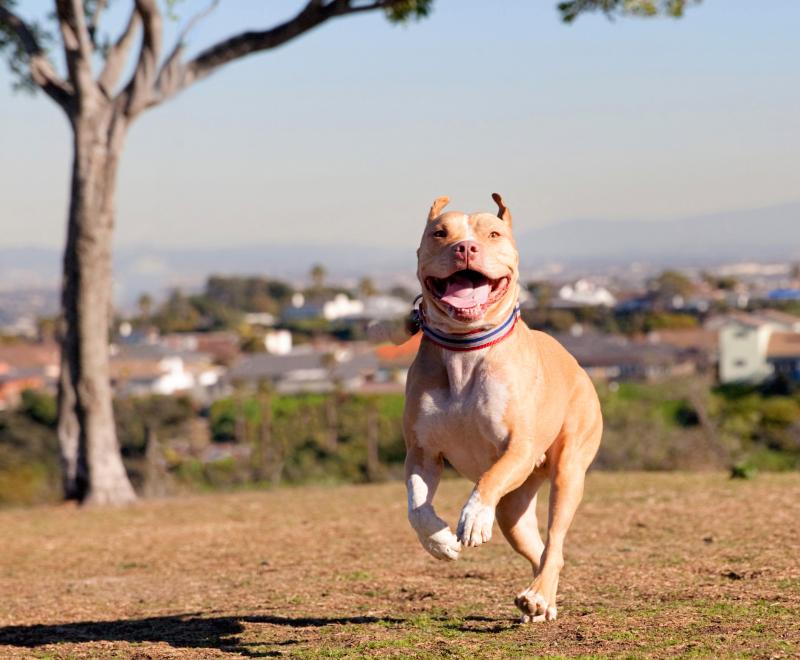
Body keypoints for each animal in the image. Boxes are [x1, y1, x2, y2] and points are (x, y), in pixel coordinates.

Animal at [406, 193, 600, 620]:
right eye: (439, 233)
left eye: (493, 234)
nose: (465, 248)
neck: (465, 351)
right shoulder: (422, 452)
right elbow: (416, 505)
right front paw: (440, 541)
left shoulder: (518, 447)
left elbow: (488, 479)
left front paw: (474, 517)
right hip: (515, 508)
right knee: (539, 548)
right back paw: (542, 601)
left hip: (567, 469)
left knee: (555, 541)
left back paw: (538, 595)